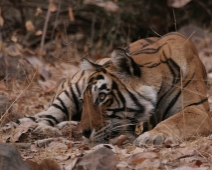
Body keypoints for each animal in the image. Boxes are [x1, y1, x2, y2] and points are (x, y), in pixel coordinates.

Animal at [76, 32, 212, 146]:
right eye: (83, 100)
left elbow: (174, 121)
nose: (84, 133)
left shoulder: (197, 109)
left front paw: (151, 136)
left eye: (102, 97)